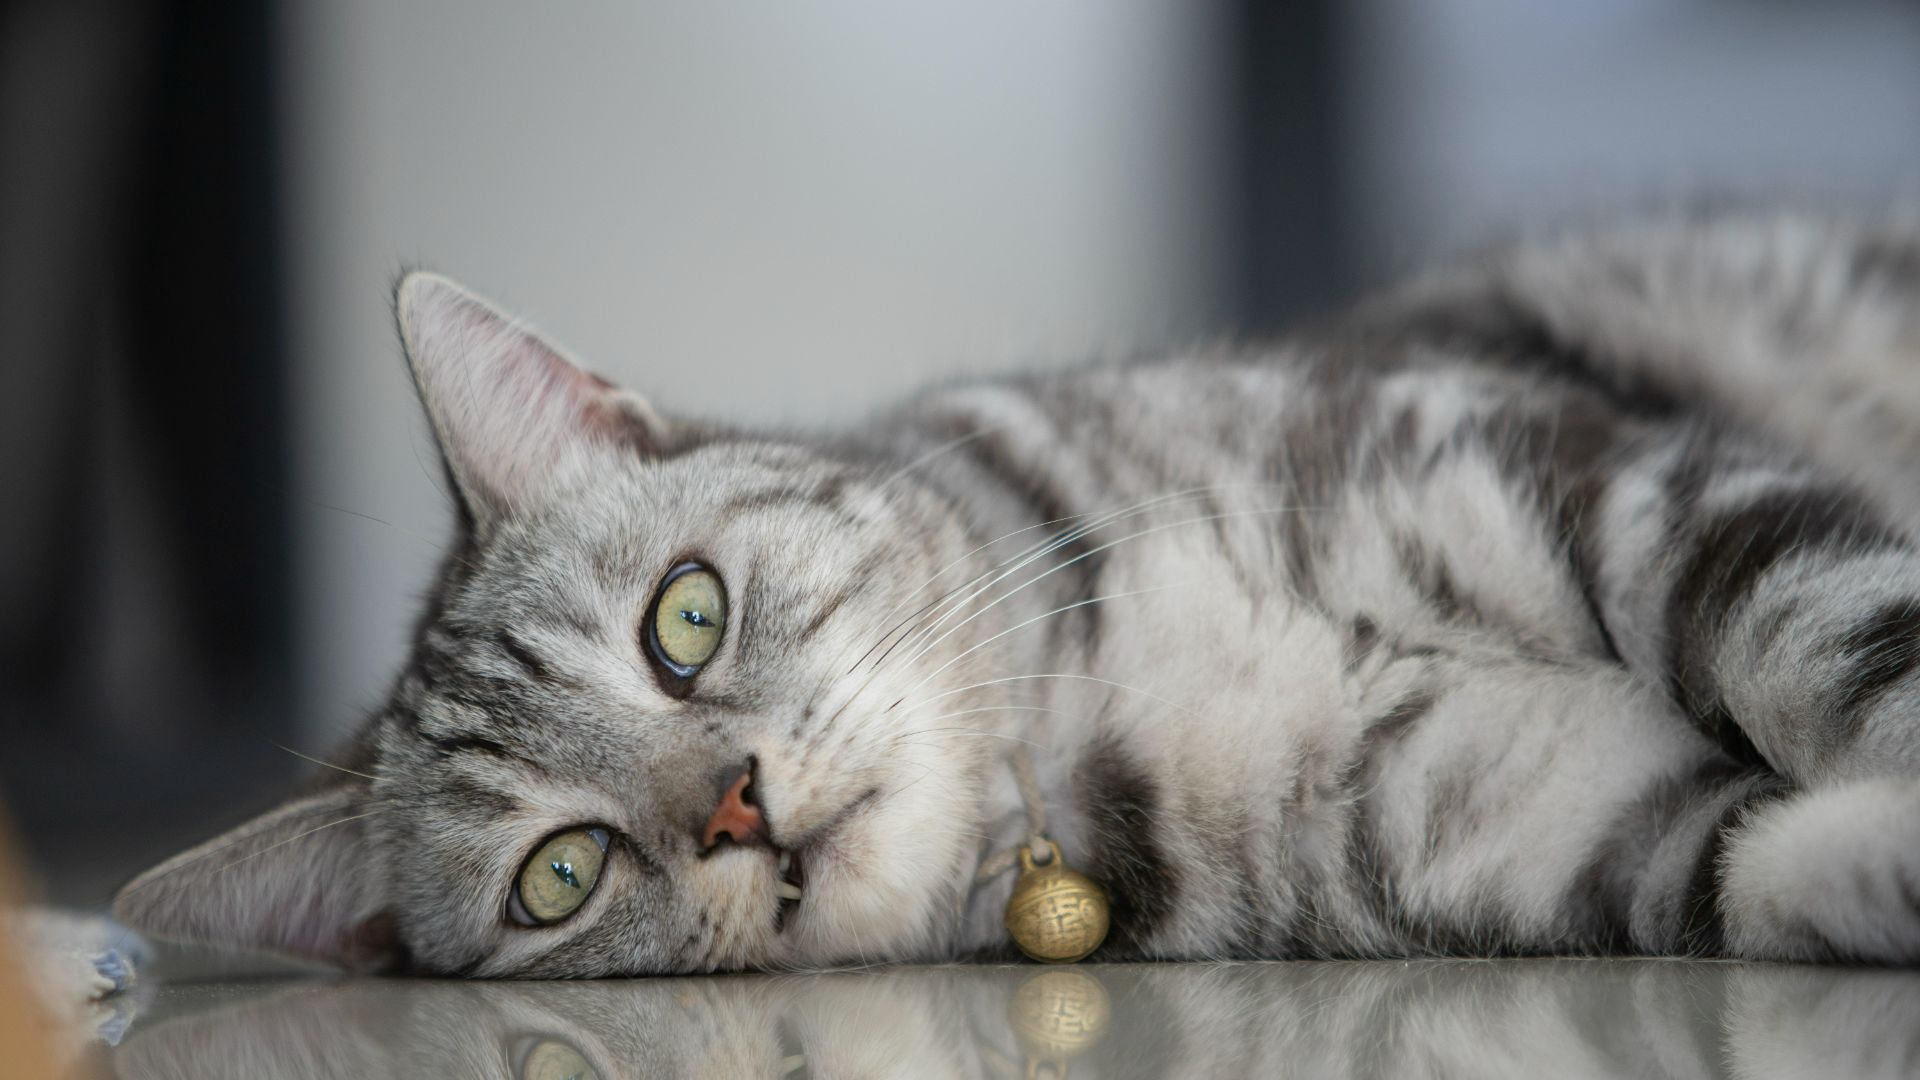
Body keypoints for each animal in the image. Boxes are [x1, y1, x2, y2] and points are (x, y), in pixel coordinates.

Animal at [112, 212, 1920, 976]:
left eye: (683, 622)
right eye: (559, 876)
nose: (739, 810)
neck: (1098, 710)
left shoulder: (1582, 472)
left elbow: (1823, 639)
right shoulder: (1531, 818)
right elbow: (1757, 862)